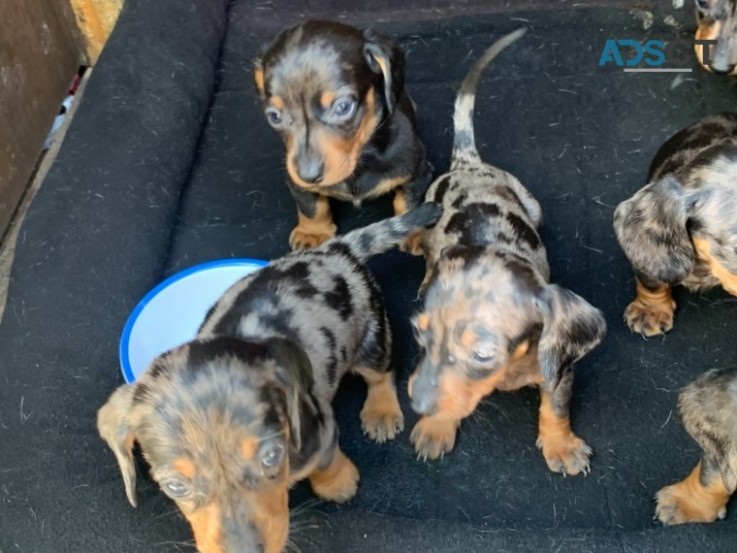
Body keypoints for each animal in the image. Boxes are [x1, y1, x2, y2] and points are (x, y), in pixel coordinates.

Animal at [98, 205, 442, 552]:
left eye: (271, 456)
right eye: (175, 486)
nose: (244, 550)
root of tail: (332, 250)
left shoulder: (322, 427)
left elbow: (326, 461)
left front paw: (339, 484)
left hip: (371, 335)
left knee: (380, 373)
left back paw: (381, 412)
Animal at [254, 19, 432, 248]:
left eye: (343, 107)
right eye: (274, 116)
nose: (308, 175)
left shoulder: (419, 172)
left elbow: (409, 201)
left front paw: (413, 230)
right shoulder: (295, 182)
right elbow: (310, 204)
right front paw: (313, 233)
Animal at [402, 28, 604, 474]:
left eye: (481, 353)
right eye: (418, 334)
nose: (417, 404)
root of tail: (468, 164)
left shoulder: (560, 367)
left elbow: (555, 407)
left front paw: (561, 445)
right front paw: (436, 426)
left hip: (534, 206)